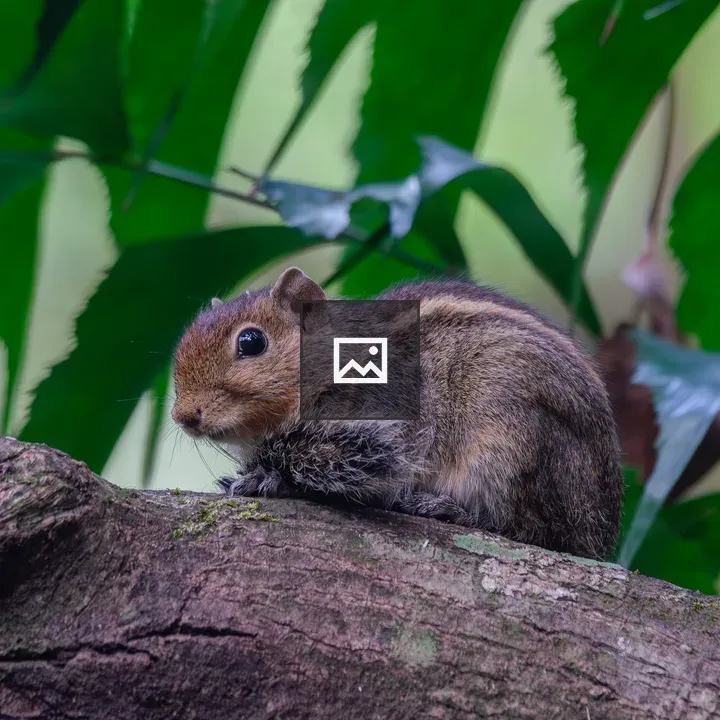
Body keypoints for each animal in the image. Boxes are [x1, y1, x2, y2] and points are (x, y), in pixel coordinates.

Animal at [172, 267, 623, 560]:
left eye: (251, 342)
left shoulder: (381, 435)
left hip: (509, 446)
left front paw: (268, 478)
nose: (182, 416)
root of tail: (600, 527)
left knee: (527, 528)